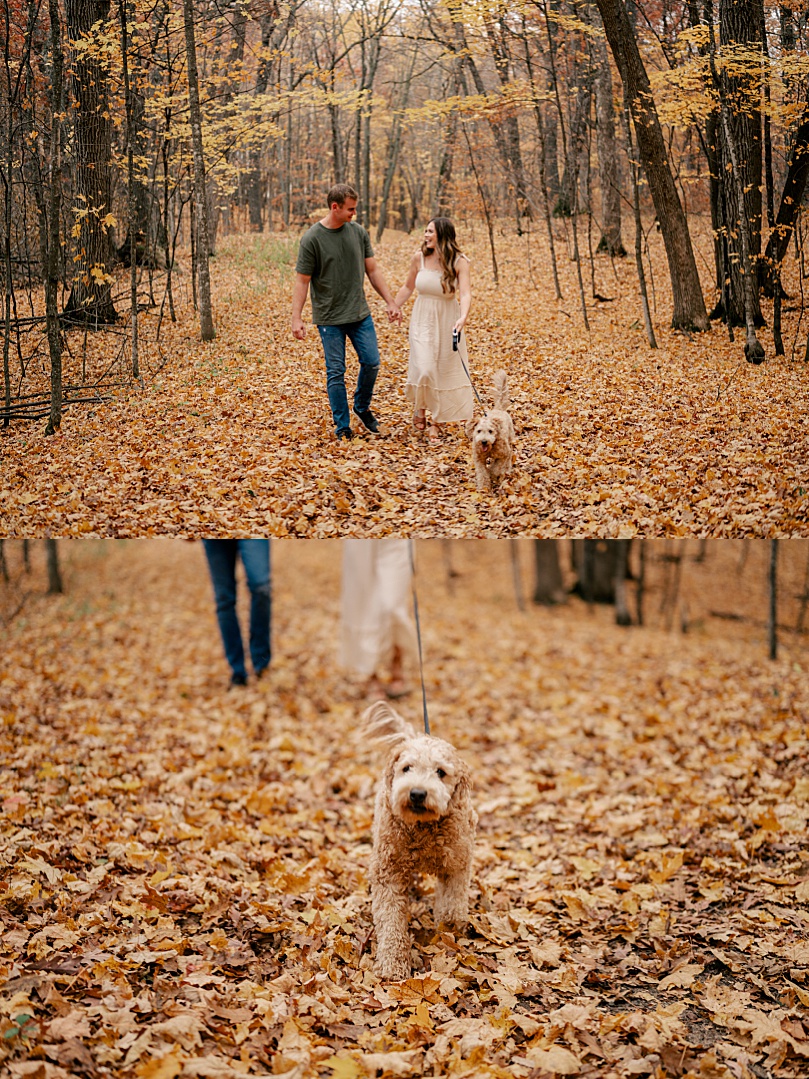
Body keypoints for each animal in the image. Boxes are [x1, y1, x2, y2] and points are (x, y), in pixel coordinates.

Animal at [364, 703, 478, 984]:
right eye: (407, 768)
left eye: (441, 772)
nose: (416, 793)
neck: (422, 827)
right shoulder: (388, 874)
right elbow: (390, 922)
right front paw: (392, 965)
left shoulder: (457, 865)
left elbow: (452, 906)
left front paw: (450, 932)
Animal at [465, 366, 515, 494]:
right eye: (478, 431)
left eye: (491, 431)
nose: (484, 441)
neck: (490, 448)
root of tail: (499, 409)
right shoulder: (478, 459)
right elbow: (482, 473)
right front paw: (484, 487)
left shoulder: (503, 454)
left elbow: (496, 467)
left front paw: (493, 474)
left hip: (509, 439)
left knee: (509, 457)